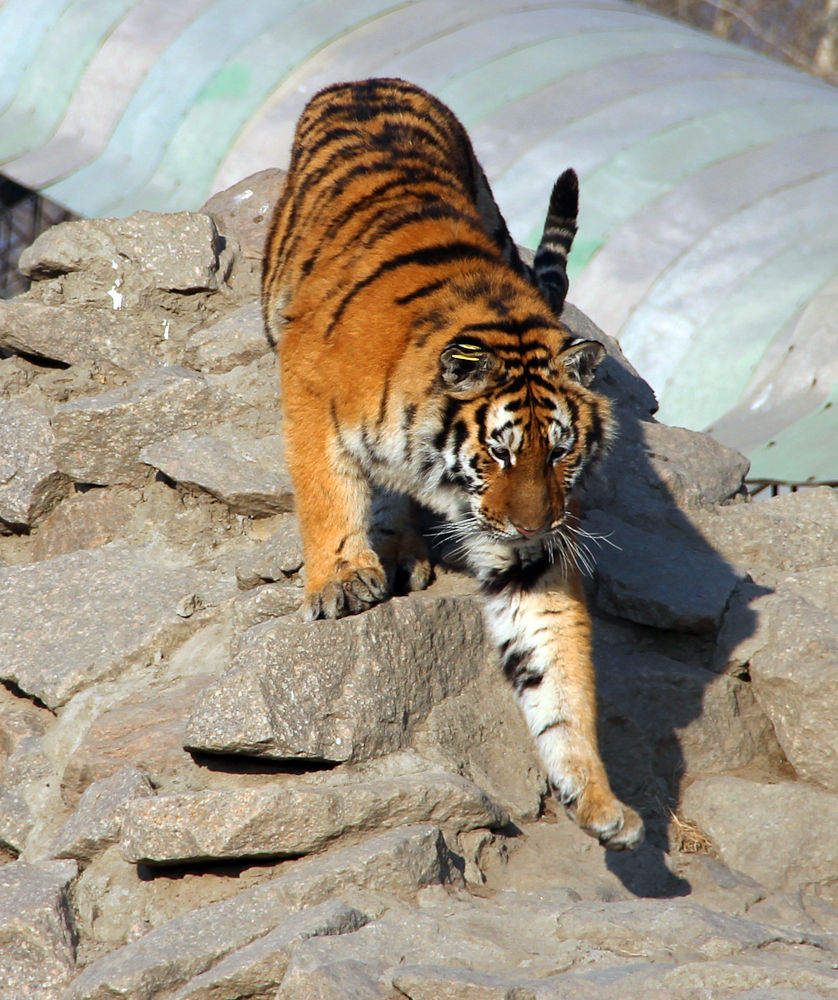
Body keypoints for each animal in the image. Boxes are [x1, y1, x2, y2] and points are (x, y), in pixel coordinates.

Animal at [262, 77, 644, 851]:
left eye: (562, 450)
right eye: (499, 450)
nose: (531, 529)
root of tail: (367, 81)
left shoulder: (532, 550)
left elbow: (554, 665)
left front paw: (594, 796)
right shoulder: (308, 389)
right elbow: (325, 493)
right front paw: (340, 582)